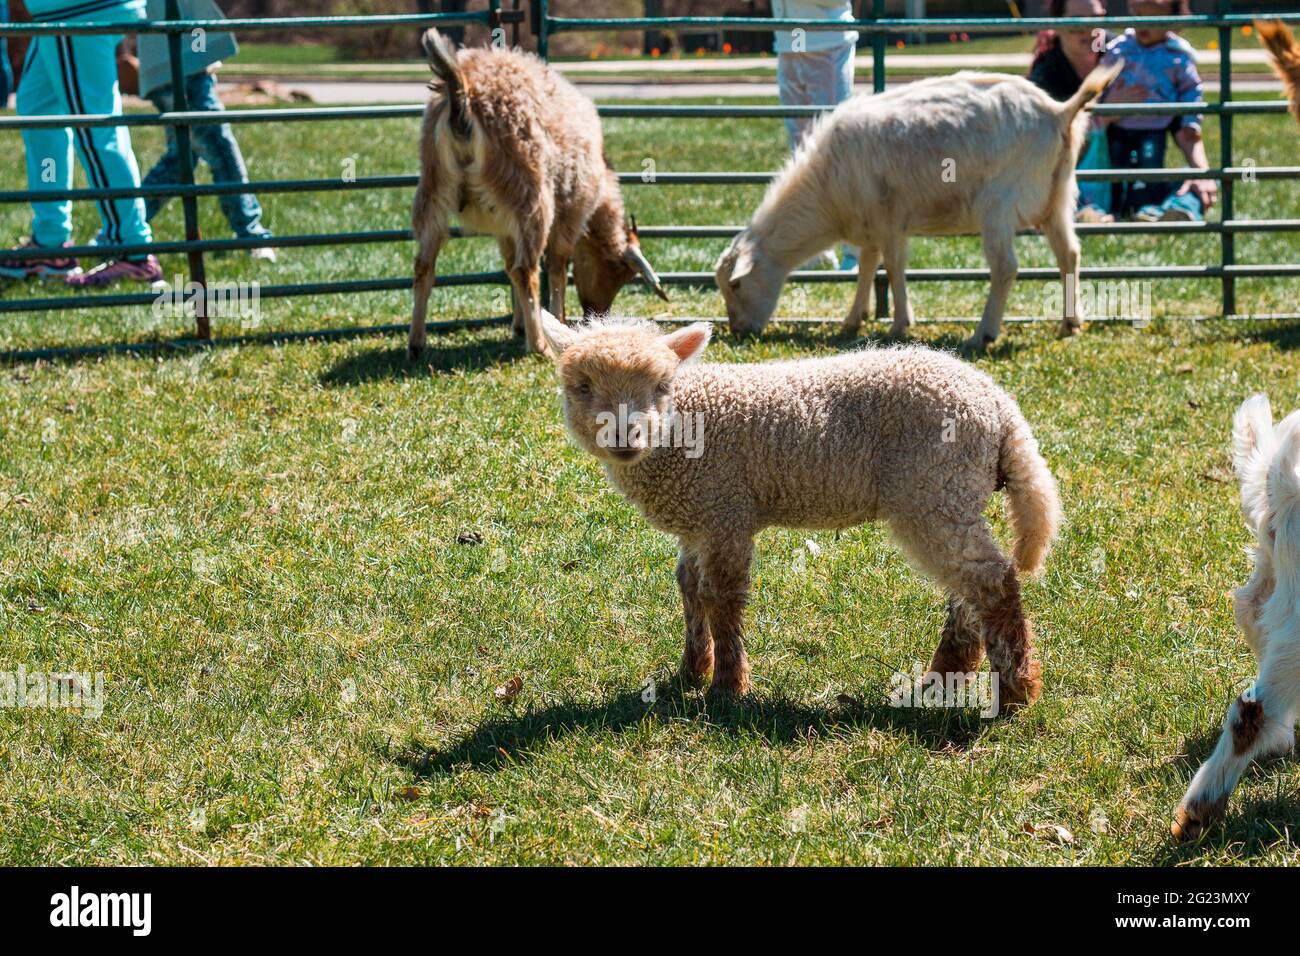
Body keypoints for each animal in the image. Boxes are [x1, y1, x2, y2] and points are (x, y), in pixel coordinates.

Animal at [408, 29, 667, 360]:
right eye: (617, 270)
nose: (595, 312)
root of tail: (462, 91)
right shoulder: (572, 211)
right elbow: (556, 265)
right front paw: (555, 320)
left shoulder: (503, 224)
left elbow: (508, 264)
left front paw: (520, 325)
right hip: (530, 195)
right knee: (526, 269)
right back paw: (539, 345)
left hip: (433, 191)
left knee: (424, 266)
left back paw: (416, 344)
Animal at [540, 311, 1063, 707]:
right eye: (581, 386)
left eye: (662, 385)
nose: (624, 436)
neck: (686, 425)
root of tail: (1000, 407)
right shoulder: (700, 516)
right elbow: (689, 588)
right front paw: (691, 670)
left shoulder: (727, 508)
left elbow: (721, 596)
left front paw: (727, 688)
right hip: (951, 494)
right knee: (967, 588)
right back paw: (944, 677)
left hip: (934, 486)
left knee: (991, 581)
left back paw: (1016, 690)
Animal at [715, 62, 1123, 350]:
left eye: (736, 285)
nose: (738, 331)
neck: (825, 190)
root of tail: (1059, 111)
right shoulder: (870, 225)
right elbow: (867, 267)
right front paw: (854, 318)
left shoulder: (889, 219)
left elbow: (893, 269)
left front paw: (899, 324)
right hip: (1058, 197)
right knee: (1068, 254)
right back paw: (1069, 324)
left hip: (999, 201)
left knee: (1005, 267)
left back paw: (983, 334)